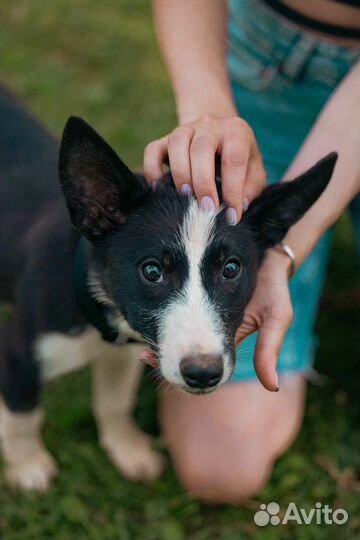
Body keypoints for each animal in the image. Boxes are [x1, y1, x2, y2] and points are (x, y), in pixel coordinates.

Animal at [0, 86, 338, 492]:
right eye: (152, 271)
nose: (203, 374)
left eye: (231, 269)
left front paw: (128, 450)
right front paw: (28, 467)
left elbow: (114, 402)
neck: (100, 313)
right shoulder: (18, 353)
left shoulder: (122, 356)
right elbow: (23, 416)